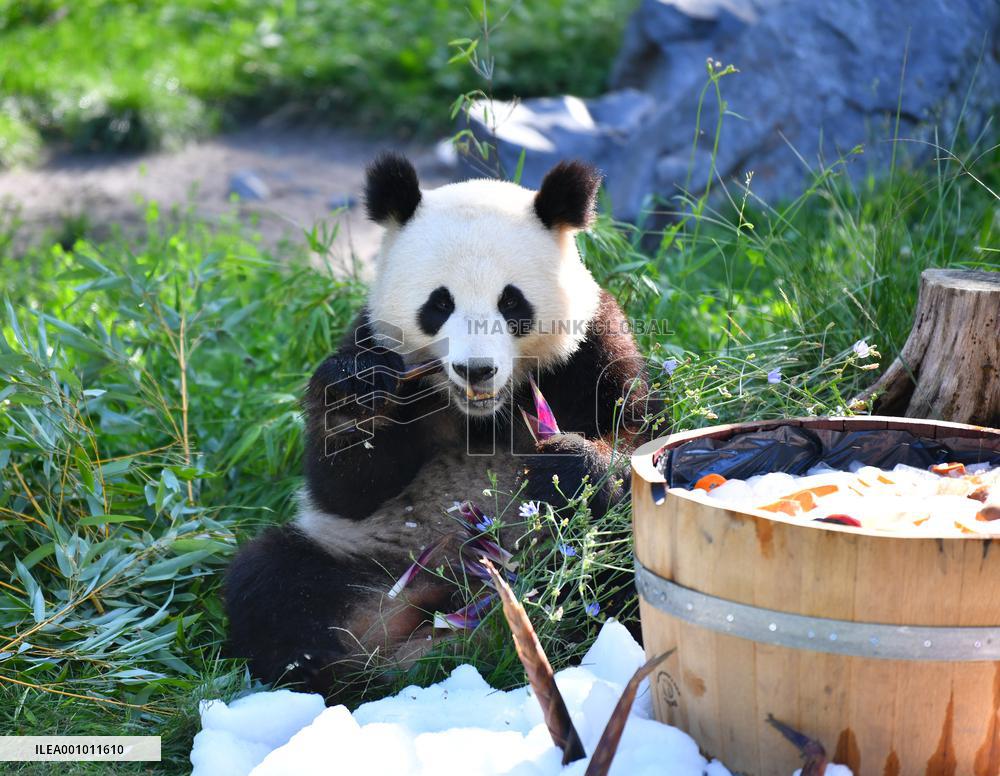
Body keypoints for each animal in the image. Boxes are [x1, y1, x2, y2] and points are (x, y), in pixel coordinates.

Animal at [225, 153, 652, 702]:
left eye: (511, 303)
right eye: (439, 303)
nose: (476, 369)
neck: (485, 413)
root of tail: (454, 595)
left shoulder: (591, 349)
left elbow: (633, 442)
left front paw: (565, 460)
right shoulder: (373, 339)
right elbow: (346, 489)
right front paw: (356, 394)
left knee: (611, 563)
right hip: (374, 557)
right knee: (273, 582)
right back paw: (345, 669)